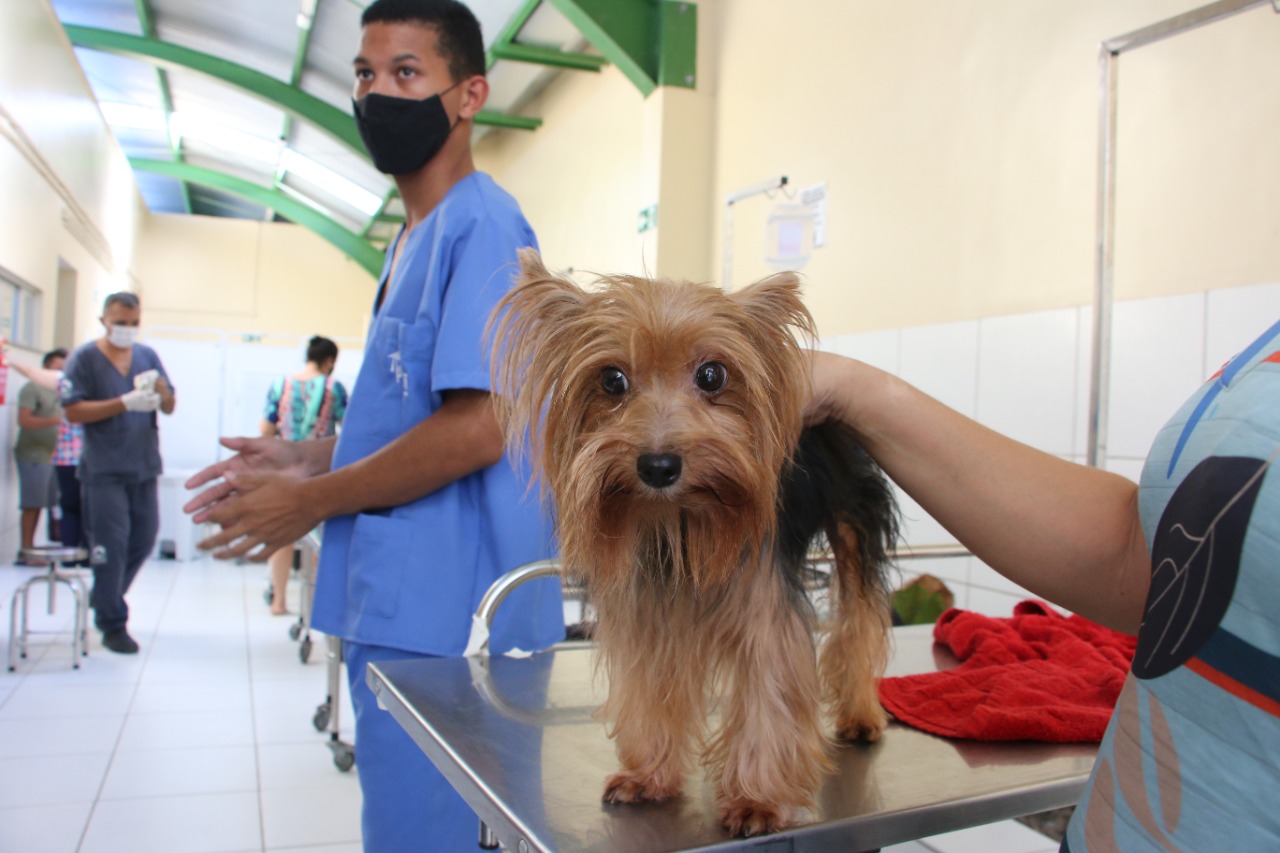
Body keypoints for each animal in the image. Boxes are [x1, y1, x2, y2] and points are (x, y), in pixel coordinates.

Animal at [488, 249, 901, 835]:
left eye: (712, 374)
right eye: (611, 379)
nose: (658, 465)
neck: (677, 517)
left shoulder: (765, 607)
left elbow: (769, 691)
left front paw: (756, 799)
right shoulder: (647, 609)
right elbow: (651, 686)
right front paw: (649, 774)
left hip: (853, 514)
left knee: (859, 614)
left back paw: (861, 713)